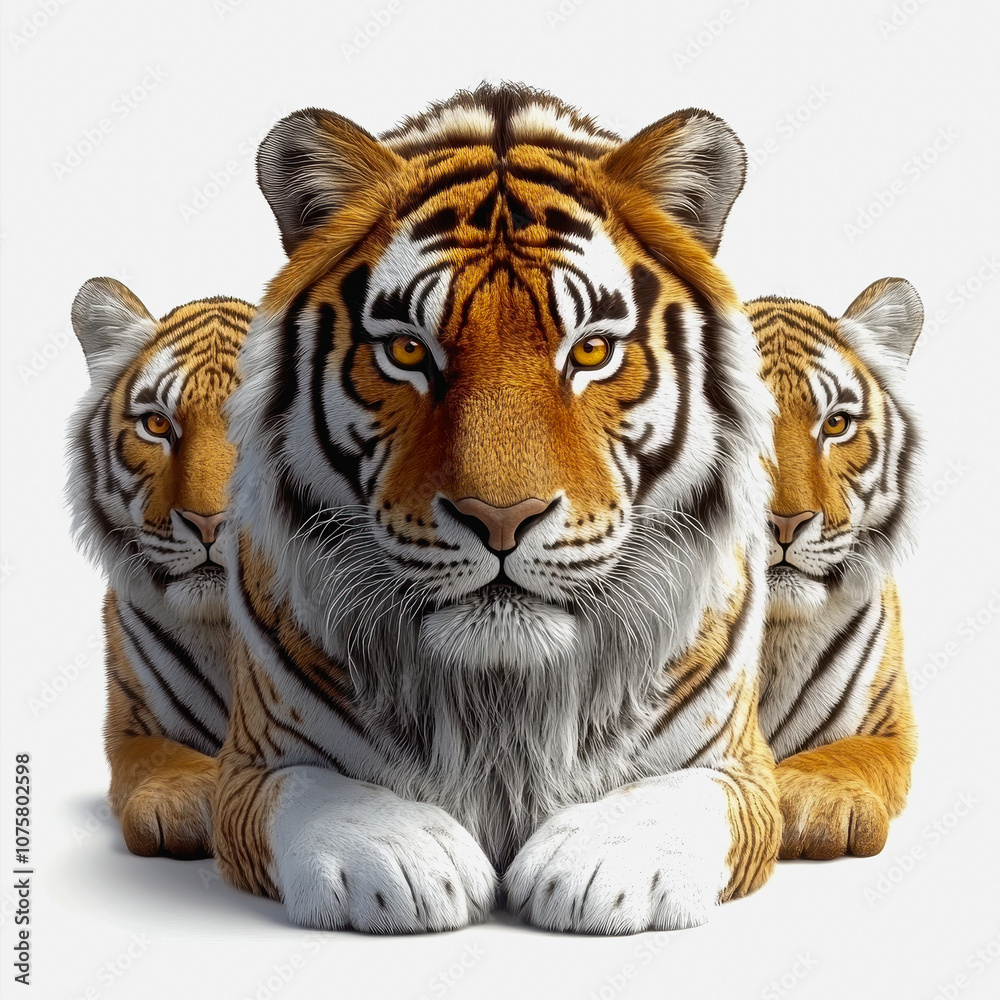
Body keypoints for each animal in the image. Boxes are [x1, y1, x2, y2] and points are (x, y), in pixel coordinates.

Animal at [214, 82, 781, 934]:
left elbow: (686, 796)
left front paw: (600, 865)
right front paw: (402, 855)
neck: (505, 701)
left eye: (590, 350)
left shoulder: (743, 769)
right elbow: (309, 791)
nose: (502, 520)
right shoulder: (249, 766)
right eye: (407, 351)